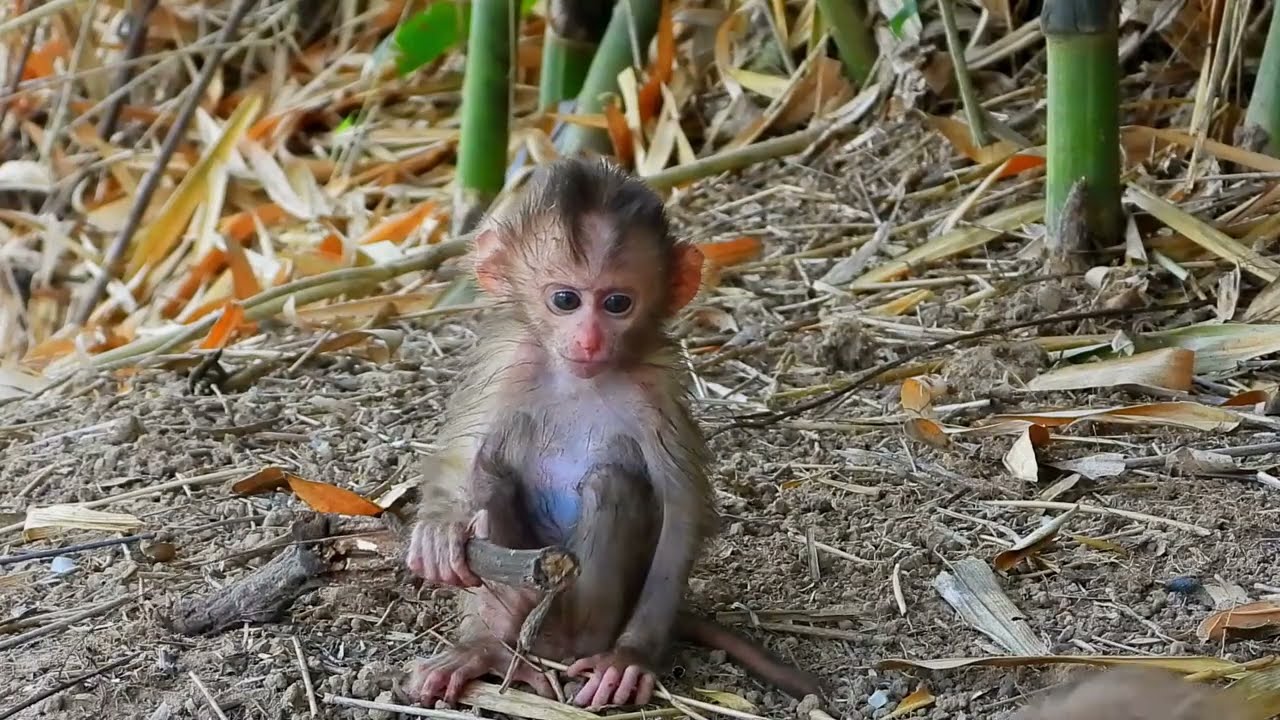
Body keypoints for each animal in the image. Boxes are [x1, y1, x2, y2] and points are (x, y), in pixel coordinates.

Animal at [403, 156, 823, 710]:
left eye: (617, 303)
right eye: (565, 300)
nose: (588, 339)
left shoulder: (656, 386)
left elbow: (681, 509)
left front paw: (631, 659)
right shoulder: (507, 360)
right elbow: (463, 452)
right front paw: (439, 529)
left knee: (610, 482)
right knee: (490, 475)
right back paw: (486, 645)